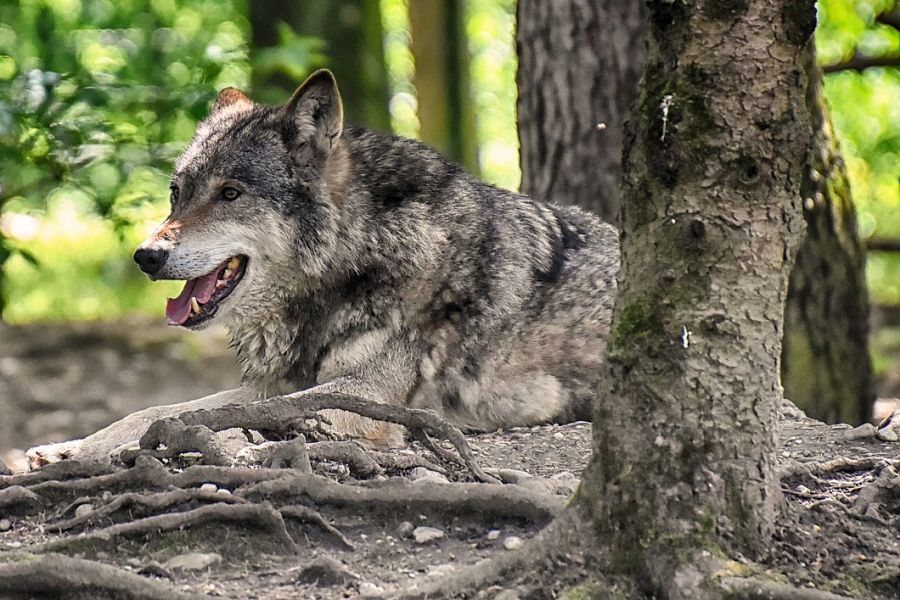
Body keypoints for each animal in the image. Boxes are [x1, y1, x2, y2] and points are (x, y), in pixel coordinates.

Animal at [28, 69, 620, 464]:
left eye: (230, 193)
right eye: (177, 193)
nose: (146, 256)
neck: (355, 260)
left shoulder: (364, 397)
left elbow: (243, 417)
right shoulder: (277, 381)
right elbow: (155, 411)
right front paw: (69, 448)